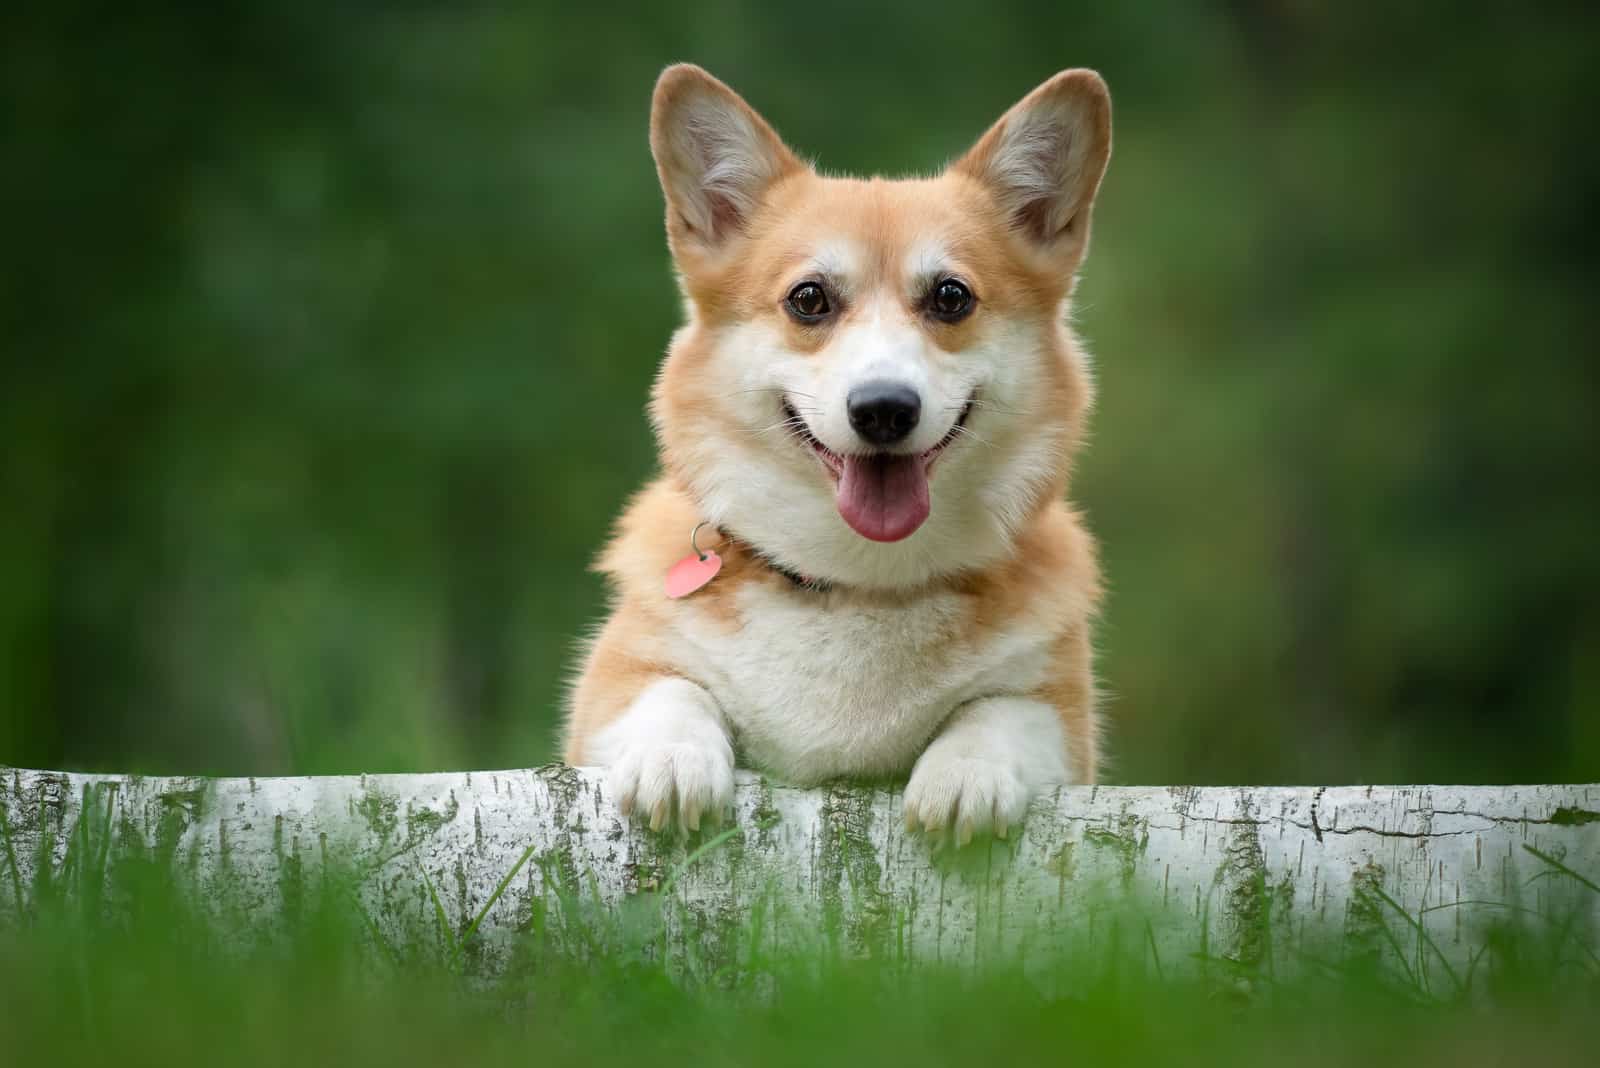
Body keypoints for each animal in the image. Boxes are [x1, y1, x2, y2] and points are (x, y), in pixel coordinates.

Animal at [566, 66, 1113, 844]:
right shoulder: (618, 685)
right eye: (809, 299)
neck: (858, 581)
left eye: (951, 297)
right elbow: (669, 693)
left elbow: (999, 712)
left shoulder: (1061, 717)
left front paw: (965, 777)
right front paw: (673, 762)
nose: (884, 409)